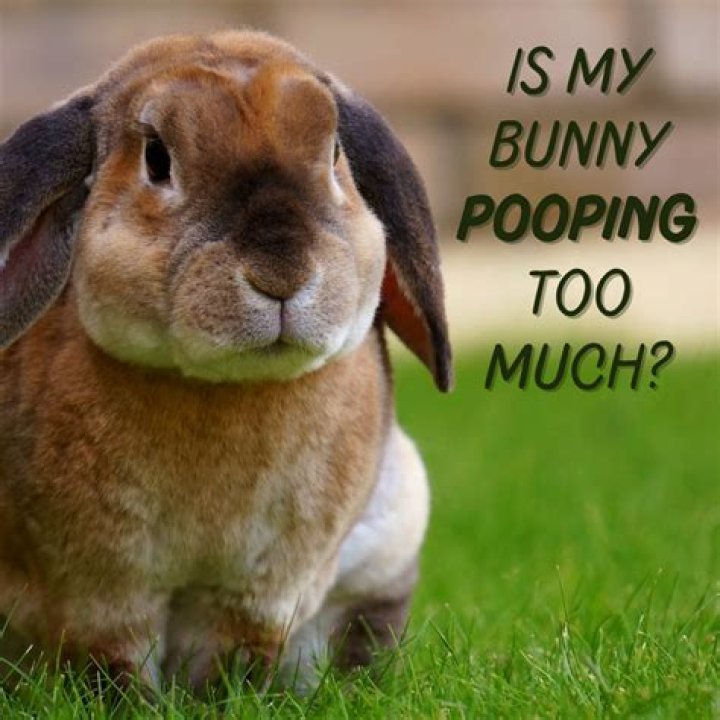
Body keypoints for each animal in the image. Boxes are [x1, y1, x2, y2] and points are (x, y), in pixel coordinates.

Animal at [0, 29, 452, 693]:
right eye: (157, 159)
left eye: (334, 153)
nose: (281, 273)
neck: (223, 388)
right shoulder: (101, 591)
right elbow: (115, 661)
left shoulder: (261, 591)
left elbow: (234, 656)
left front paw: (225, 698)